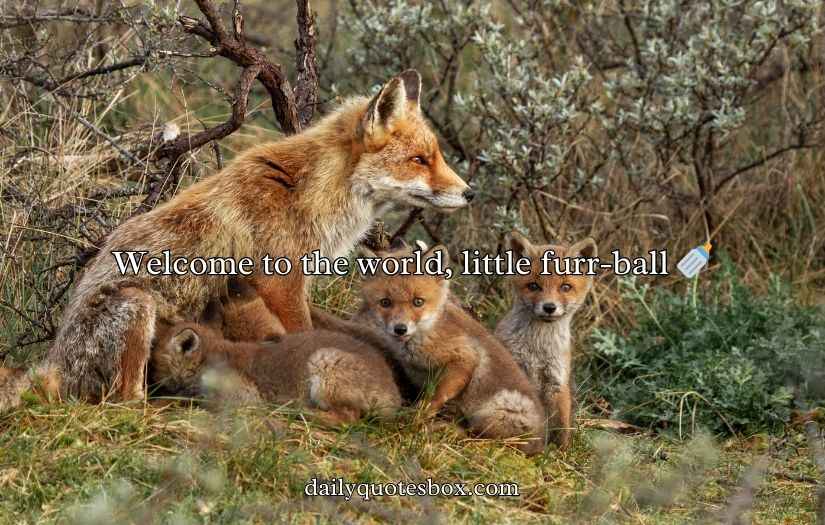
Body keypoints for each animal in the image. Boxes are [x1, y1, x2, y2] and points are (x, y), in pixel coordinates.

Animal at [3, 69, 471, 410]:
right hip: (138, 304)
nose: (470, 193)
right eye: (419, 160)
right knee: (124, 400)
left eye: (436, 156)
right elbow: (303, 332)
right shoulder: (281, 281)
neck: (309, 191)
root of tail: (54, 362)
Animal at [356, 242, 546, 455]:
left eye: (418, 302)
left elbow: (436, 397)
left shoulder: (464, 359)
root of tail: (541, 444)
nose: (400, 328)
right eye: (385, 302)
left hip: (495, 412)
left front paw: (415, 419)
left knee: (481, 439)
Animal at [495, 232, 597, 449]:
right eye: (534, 286)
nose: (549, 307)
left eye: (565, 287)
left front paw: (561, 452)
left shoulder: (556, 381)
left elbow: (561, 426)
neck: (537, 349)